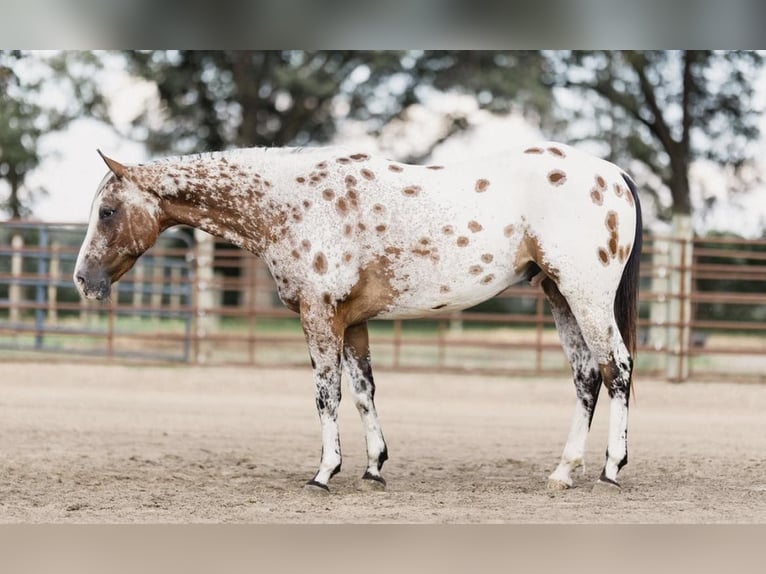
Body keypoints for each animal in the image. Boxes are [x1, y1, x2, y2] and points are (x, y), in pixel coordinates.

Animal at [76, 143, 640, 496]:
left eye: (107, 212)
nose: (83, 280)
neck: (292, 204)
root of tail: (613, 174)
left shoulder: (320, 316)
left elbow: (327, 395)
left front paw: (325, 472)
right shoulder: (353, 323)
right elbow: (365, 390)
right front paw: (373, 467)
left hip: (585, 297)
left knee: (616, 368)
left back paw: (611, 470)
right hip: (560, 298)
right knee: (586, 377)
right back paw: (564, 472)